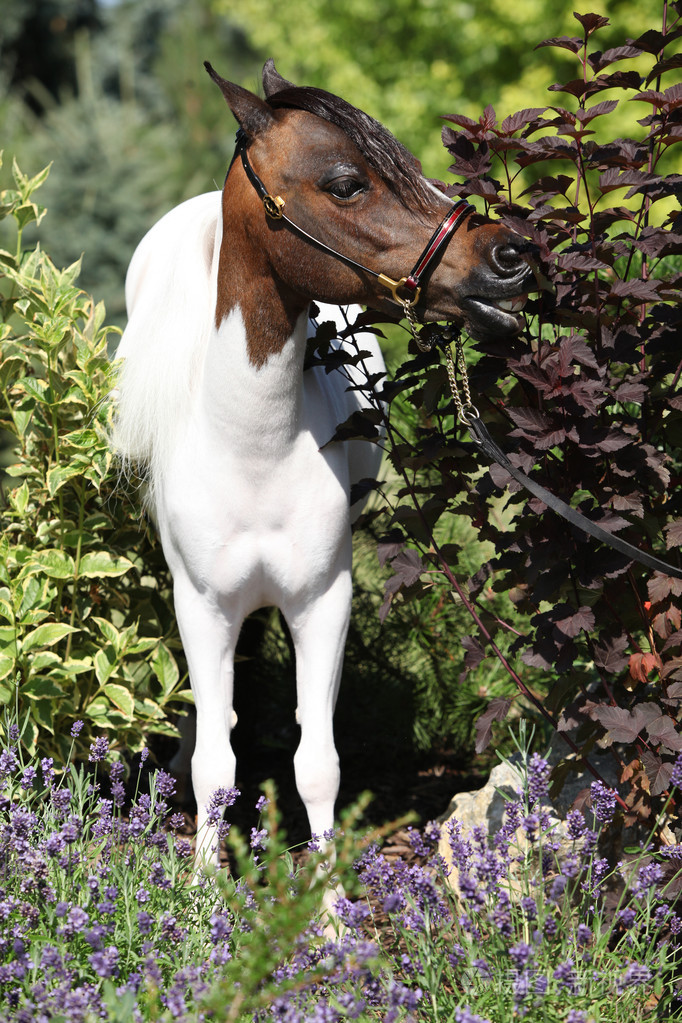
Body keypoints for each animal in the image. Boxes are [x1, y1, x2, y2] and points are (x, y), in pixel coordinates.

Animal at [112, 59, 533, 882]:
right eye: (346, 183)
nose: (510, 256)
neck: (252, 452)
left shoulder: (323, 602)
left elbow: (318, 763)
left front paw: (332, 897)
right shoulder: (202, 605)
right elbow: (216, 760)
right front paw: (204, 890)